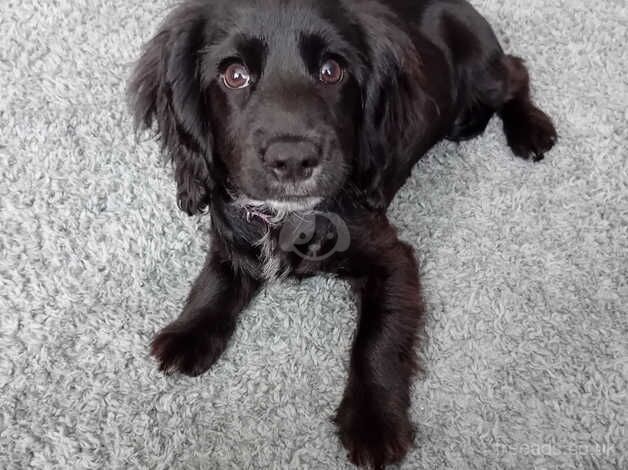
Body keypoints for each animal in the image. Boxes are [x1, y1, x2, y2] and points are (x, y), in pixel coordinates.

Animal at [127, 1, 556, 468]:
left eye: (332, 71)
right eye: (234, 75)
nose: (293, 159)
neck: (287, 217)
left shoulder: (392, 258)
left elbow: (377, 339)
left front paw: (373, 422)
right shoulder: (230, 233)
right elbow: (215, 280)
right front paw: (188, 332)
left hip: (483, 70)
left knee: (516, 72)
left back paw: (532, 128)